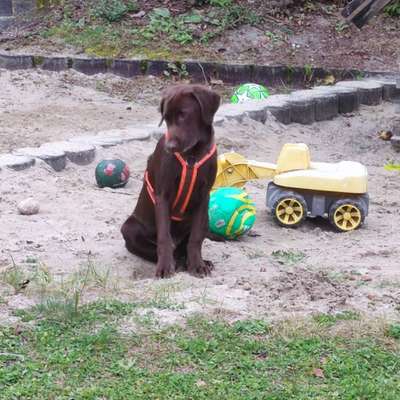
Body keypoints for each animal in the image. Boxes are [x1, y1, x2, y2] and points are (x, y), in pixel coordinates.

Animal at [122, 84, 222, 278]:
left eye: (184, 114)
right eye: (166, 118)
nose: (169, 148)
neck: (192, 155)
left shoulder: (204, 197)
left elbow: (195, 238)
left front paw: (197, 265)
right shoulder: (163, 195)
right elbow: (164, 238)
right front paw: (165, 267)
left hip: (206, 218)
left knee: (184, 246)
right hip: (129, 228)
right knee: (165, 248)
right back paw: (177, 261)